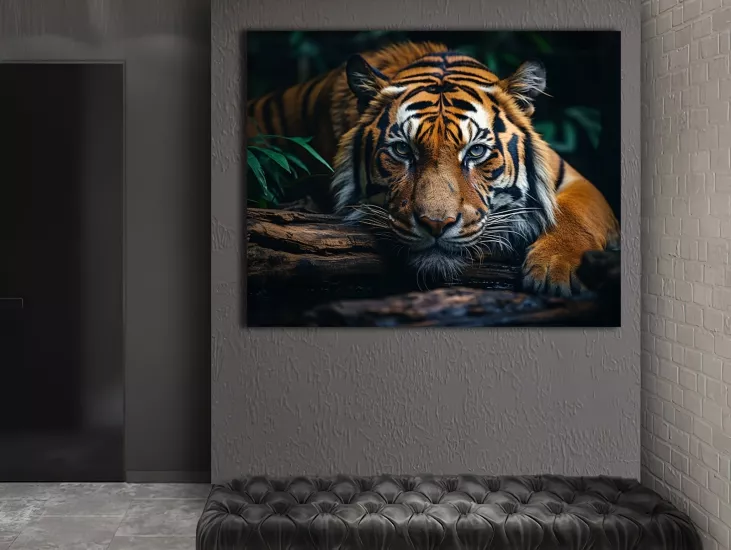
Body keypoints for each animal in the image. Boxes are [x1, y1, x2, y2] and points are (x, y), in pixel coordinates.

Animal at [246, 41, 620, 296]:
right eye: (402, 150)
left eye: (476, 152)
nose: (436, 224)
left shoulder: (576, 180)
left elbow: (576, 215)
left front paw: (556, 270)